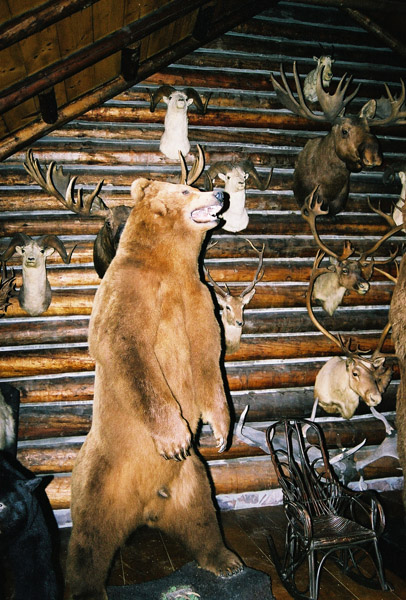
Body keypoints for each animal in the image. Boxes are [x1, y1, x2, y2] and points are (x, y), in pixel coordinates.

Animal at [67, 178, 244, 600]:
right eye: (186, 190)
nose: (220, 194)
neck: (170, 265)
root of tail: (145, 510)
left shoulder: (198, 298)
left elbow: (209, 358)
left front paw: (220, 431)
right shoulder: (129, 290)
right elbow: (127, 350)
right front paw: (175, 437)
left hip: (190, 479)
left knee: (203, 516)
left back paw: (226, 561)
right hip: (99, 477)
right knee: (88, 538)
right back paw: (86, 588)